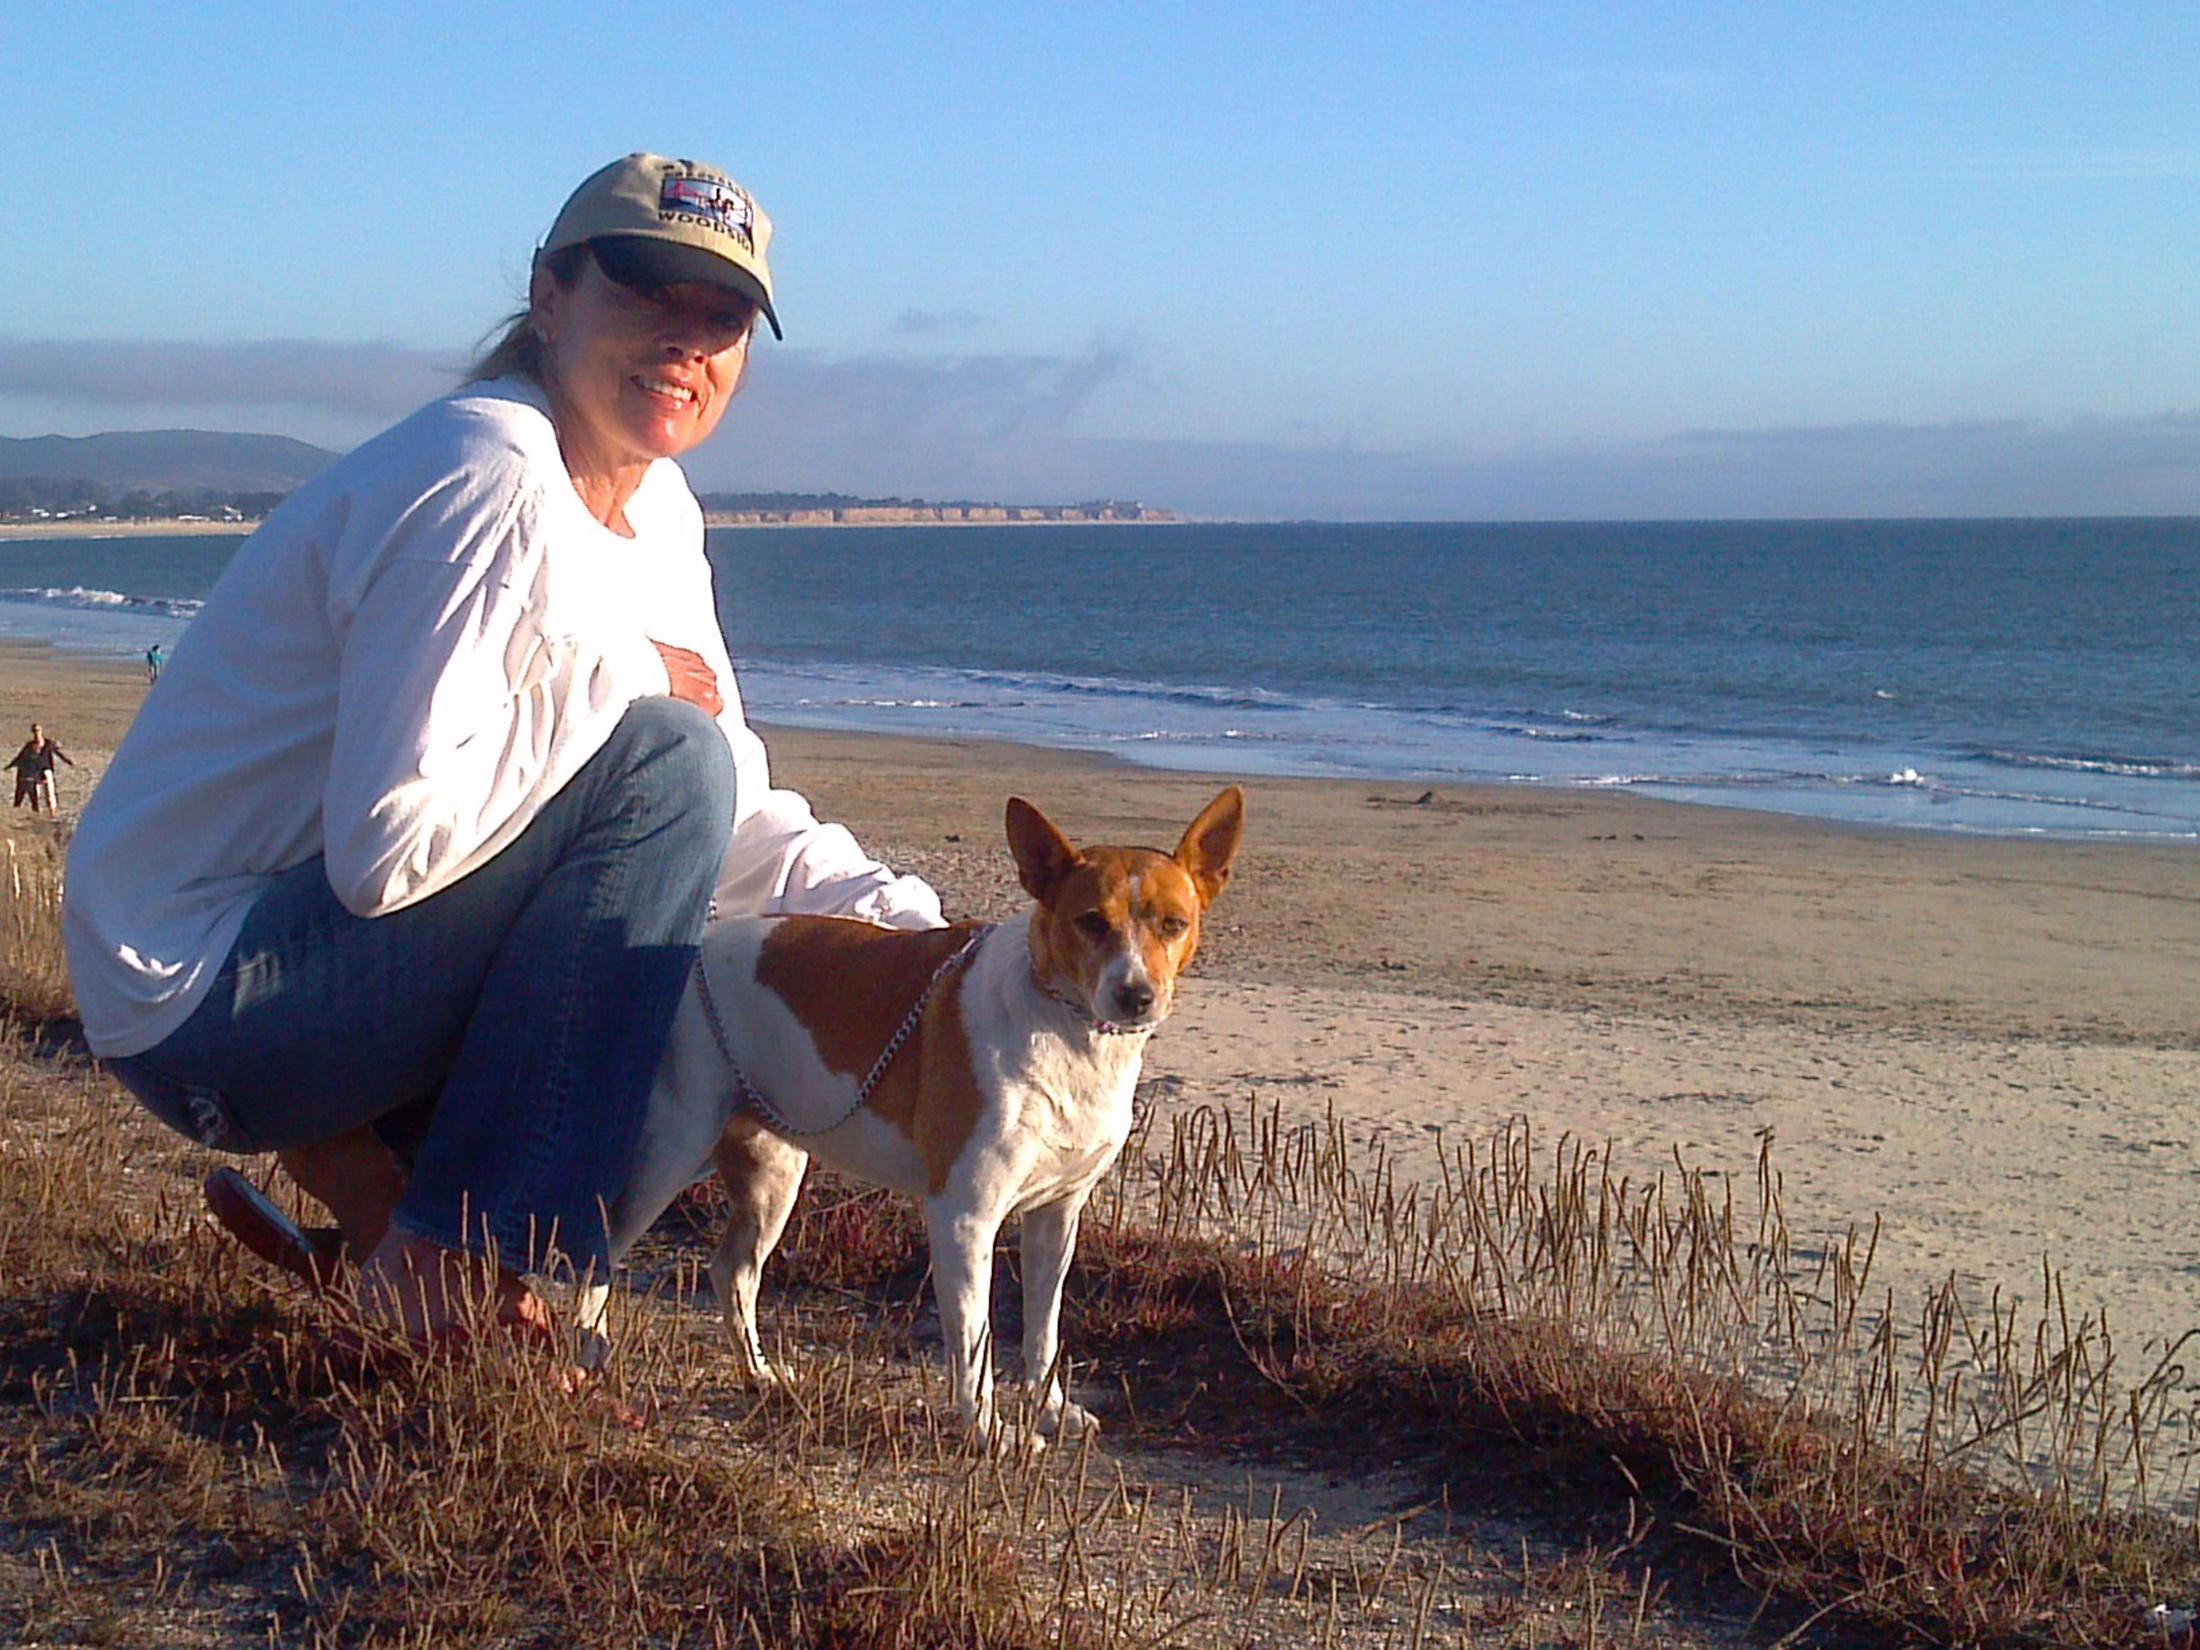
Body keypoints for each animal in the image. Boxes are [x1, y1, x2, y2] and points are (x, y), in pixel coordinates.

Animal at [594, 787, 1249, 1443]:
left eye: (1174, 924)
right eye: (1091, 922)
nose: (1136, 996)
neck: (1067, 1028)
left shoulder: (1057, 1217)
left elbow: (1043, 1330)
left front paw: (1049, 1407)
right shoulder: (964, 1218)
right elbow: (974, 1341)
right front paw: (988, 1432)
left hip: (773, 1175)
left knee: (732, 1271)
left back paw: (759, 1375)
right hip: (671, 1152)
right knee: (600, 1250)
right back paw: (587, 1357)